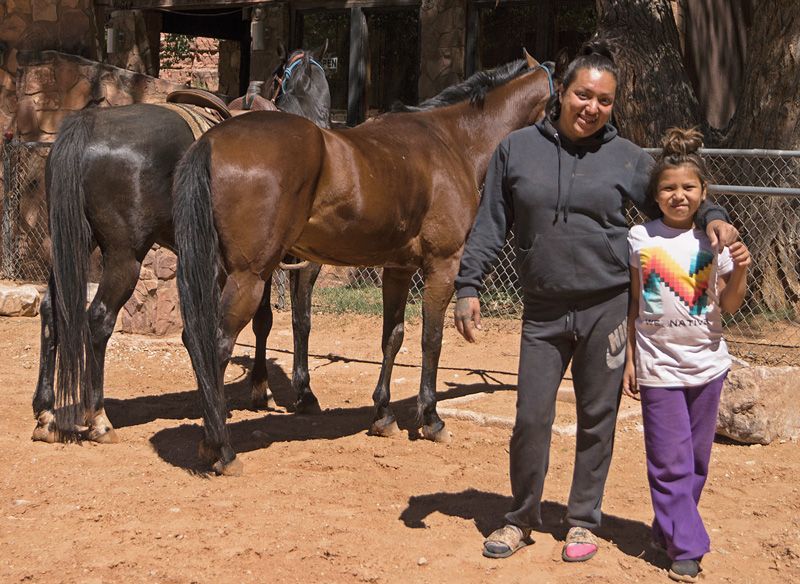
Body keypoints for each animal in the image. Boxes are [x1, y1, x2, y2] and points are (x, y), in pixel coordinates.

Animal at [34, 49, 332, 442]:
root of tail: (87, 126)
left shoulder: (252, 266)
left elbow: (262, 321)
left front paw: (258, 388)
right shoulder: (298, 264)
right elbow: (300, 321)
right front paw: (303, 392)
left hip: (72, 248)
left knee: (52, 311)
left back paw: (47, 413)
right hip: (124, 257)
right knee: (98, 319)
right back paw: (97, 417)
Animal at [172, 53, 552, 474]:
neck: (452, 142)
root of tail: (211, 140)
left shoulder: (398, 268)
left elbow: (393, 337)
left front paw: (383, 415)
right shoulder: (443, 264)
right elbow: (431, 339)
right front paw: (431, 418)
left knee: (197, 341)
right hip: (249, 277)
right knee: (217, 345)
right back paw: (222, 449)